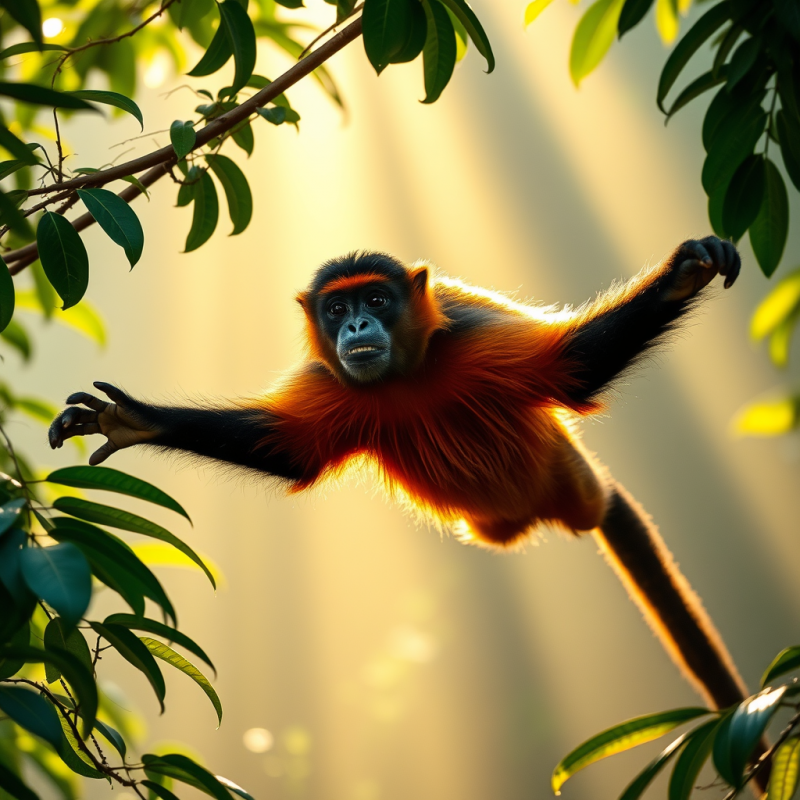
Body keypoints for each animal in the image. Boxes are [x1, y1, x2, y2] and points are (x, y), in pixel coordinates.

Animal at [50, 236, 748, 715]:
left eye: (377, 300)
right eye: (338, 309)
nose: (358, 324)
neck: (406, 377)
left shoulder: (471, 328)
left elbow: (574, 367)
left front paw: (681, 279)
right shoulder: (330, 376)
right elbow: (291, 451)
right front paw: (134, 421)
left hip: (570, 477)